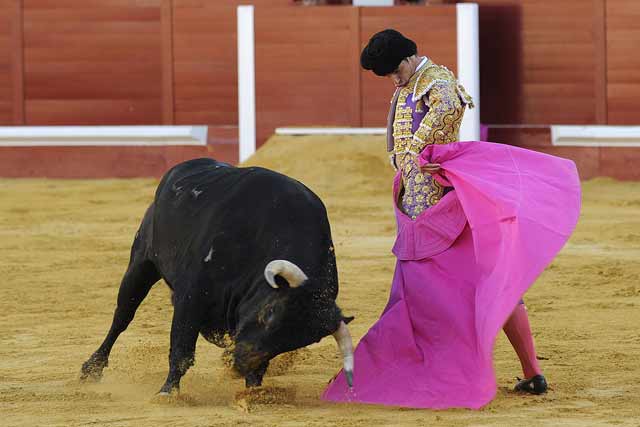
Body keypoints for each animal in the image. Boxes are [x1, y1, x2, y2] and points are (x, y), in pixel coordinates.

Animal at [79, 159, 356, 396]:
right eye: (270, 313)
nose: (237, 364)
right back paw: (91, 368)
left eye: (293, 343)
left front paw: (254, 393)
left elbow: (258, 366)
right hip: (141, 263)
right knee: (122, 316)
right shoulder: (191, 296)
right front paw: (167, 393)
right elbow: (181, 350)